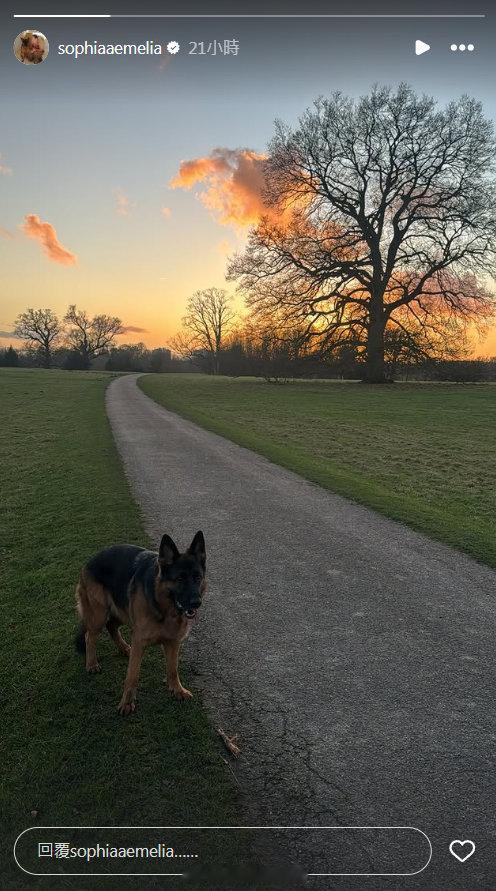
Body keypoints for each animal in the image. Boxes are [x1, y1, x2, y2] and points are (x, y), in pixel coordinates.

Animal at [74, 528, 205, 716]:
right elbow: (132, 675)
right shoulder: (140, 641)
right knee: (90, 637)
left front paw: (177, 690)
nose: (196, 602)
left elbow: (173, 669)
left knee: (111, 626)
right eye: (180, 579)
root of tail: (91, 560)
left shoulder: (173, 643)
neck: (164, 606)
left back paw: (124, 648)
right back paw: (91, 663)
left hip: (122, 613)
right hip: (99, 615)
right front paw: (127, 703)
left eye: (197, 577)